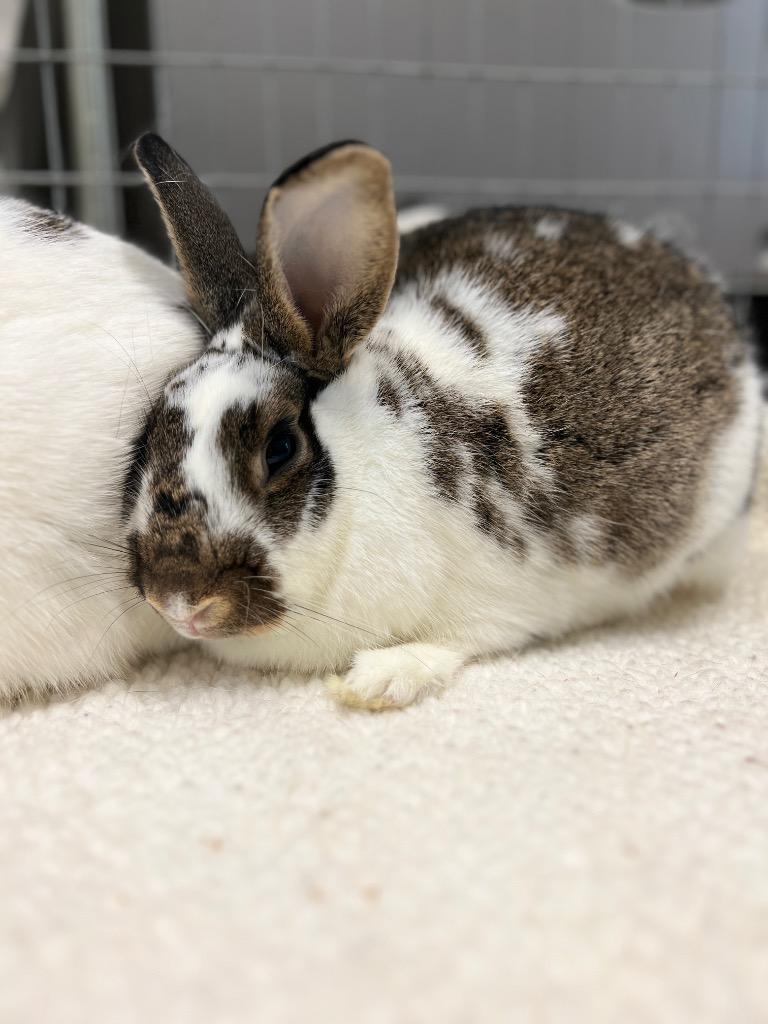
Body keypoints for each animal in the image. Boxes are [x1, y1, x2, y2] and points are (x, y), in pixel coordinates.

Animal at [124, 133, 763, 711]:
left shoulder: (497, 602)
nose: (178, 600)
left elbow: (450, 645)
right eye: (149, 434)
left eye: (279, 448)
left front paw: (377, 681)